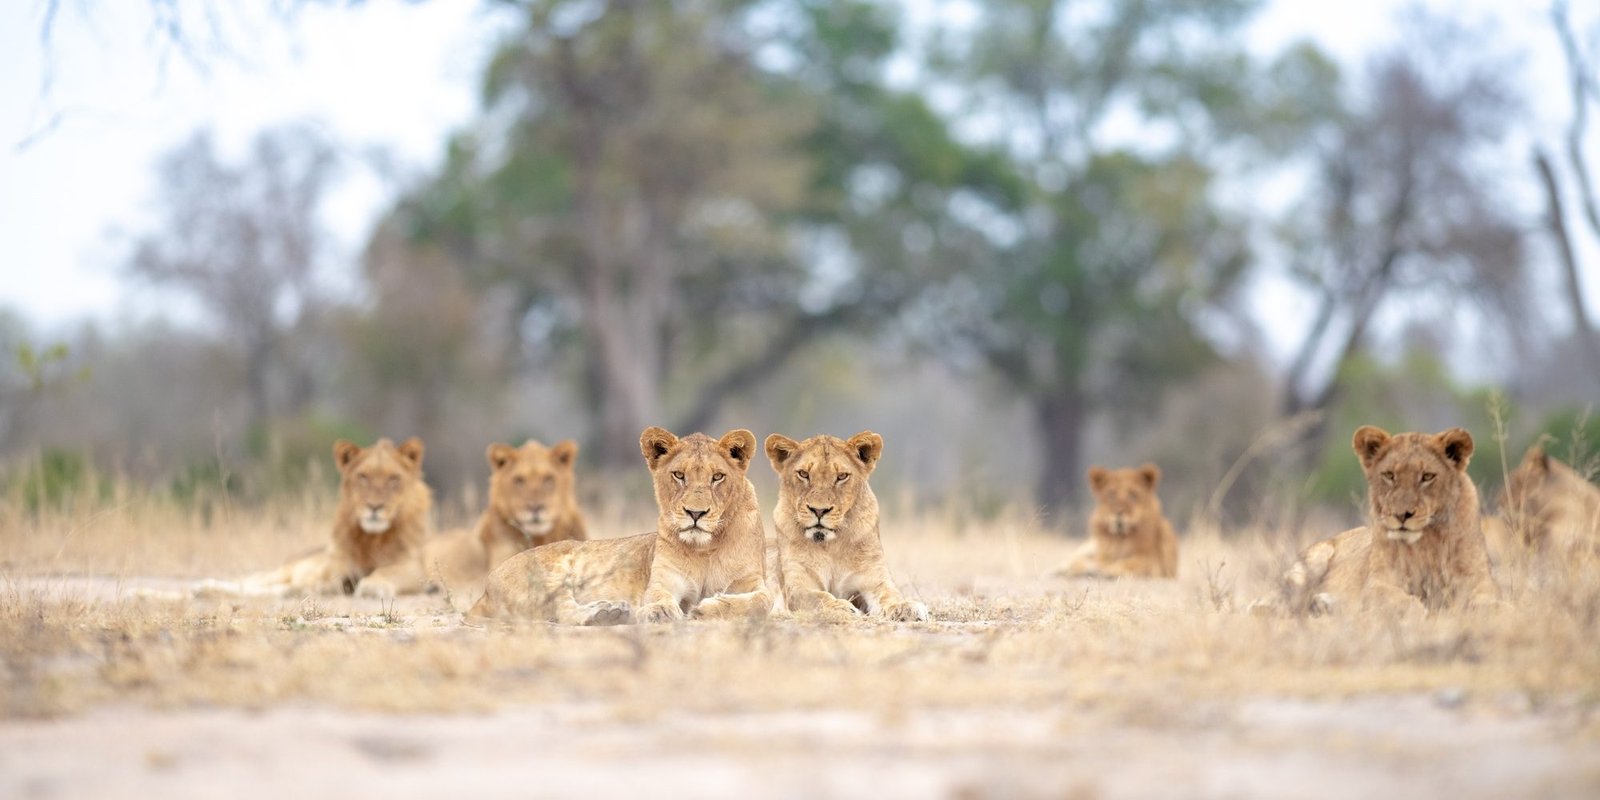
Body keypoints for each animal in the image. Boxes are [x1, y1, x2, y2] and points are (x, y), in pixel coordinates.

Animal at [199, 437, 434, 599]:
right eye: (362, 477)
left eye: (394, 478)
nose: (374, 506)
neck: (372, 539)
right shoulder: (334, 567)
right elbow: (320, 579)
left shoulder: (413, 567)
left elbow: (389, 572)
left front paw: (372, 586)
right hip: (287, 571)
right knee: (252, 581)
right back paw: (202, 588)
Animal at [468, 427, 771, 625]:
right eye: (678, 475)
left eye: (718, 477)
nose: (695, 513)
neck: (706, 548)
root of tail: (485, 587)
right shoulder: (664, 579)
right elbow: (657, 595)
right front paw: (659, 611)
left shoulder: (751, 580)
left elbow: (762, 601)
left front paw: (708, 609)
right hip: (549, 575)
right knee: (562, 611)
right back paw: (607, 614)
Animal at [763, 431, 928, 622]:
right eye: (803, 474)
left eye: (842, 476)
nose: (819, 510)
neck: (831, 543)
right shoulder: (798, 585)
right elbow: (819, 596)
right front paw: (841, 607)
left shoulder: (874, 579)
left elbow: (890, 595)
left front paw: (906, 607)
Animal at [1275, 426, 1499, 615]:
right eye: (1389, 475)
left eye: (1427, 476)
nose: (1401, 515)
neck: (1427, 543)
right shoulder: (1376, 584)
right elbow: (1408, 603)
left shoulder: (1481, 583)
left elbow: (1495, 604)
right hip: (1314, 560)